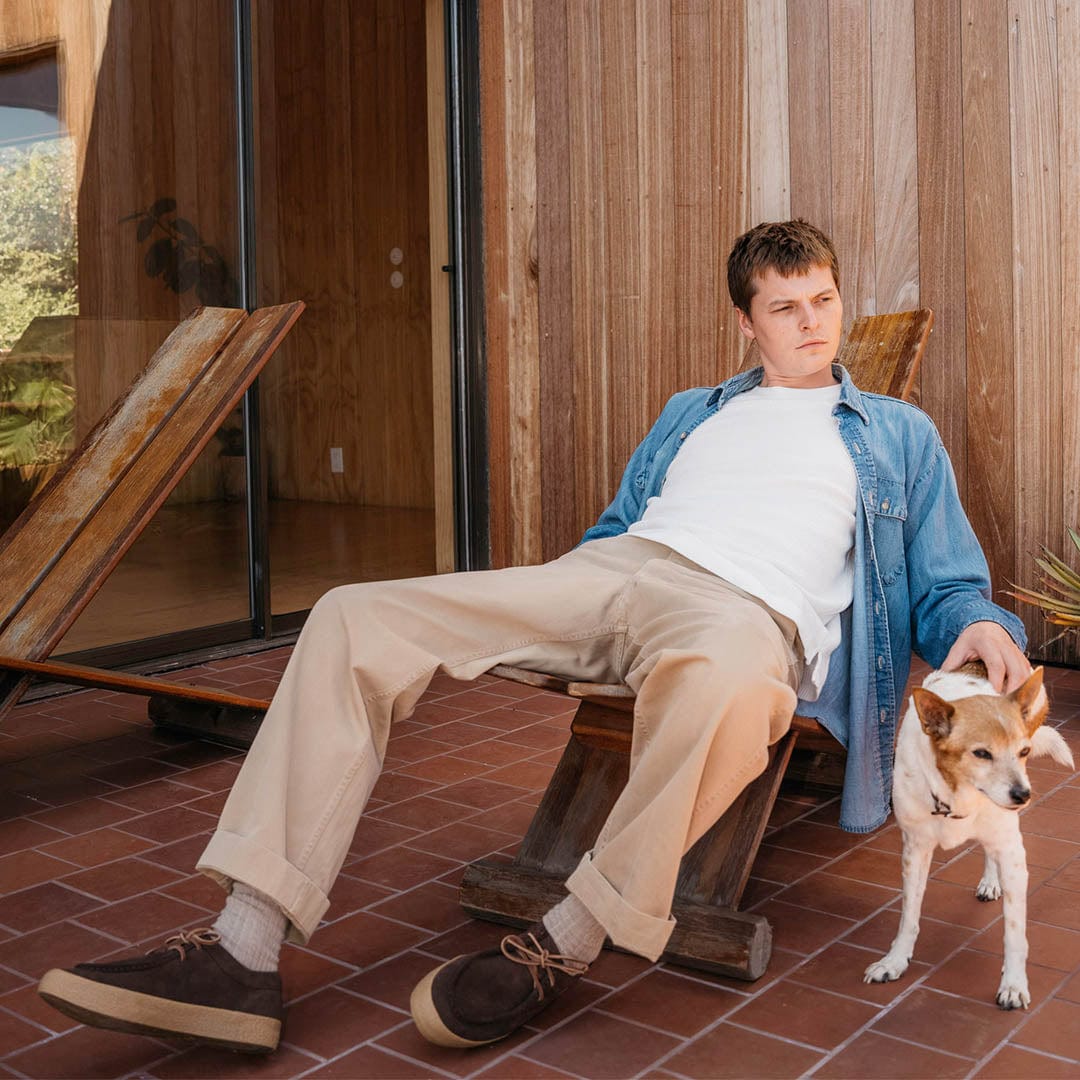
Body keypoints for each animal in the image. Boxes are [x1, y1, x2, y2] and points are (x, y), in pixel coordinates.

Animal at [864, 660, 1075, 1006]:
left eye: (1024, 751)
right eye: (981, 754)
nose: (1023, 795)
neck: (960, 795)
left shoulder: (1013, 854)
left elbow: (1015, 931)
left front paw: (1013, 984)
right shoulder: (915, 851)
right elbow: (909, 915)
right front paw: (894, 961)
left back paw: (991, 881)